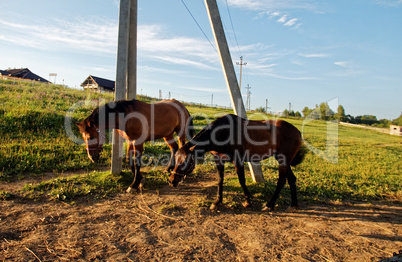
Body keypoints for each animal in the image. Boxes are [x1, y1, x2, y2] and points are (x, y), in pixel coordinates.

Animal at [169, 113, 304, 212]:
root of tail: (297, 131)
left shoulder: (238, 161)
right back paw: (294, 204)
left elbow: (242, 181)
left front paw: (248, 201)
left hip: (283, 160)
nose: (171, 181)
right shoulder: (219, 160)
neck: (224, 133)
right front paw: (217, 202)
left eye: (185, 162)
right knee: (292, 179)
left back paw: (269, 205)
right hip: (284, 161)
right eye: (176, 159)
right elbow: (220, 180)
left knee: (281, 181)